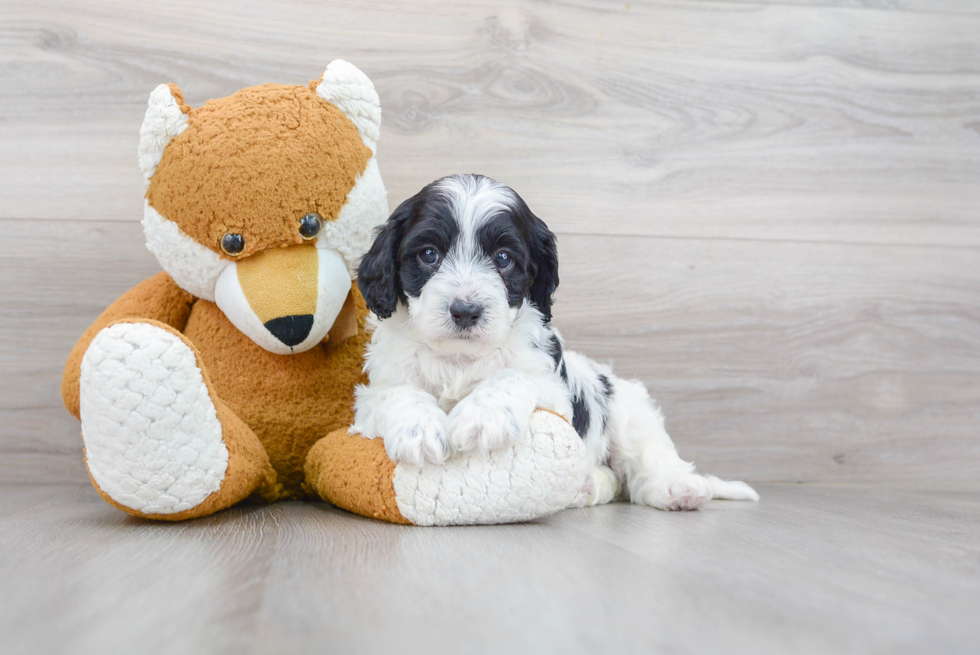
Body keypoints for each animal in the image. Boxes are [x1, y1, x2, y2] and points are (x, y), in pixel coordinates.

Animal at [350, 176, 756, 512]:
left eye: (503, 259)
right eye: (429, 254)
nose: (465, 311)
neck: (461, 357)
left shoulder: (553, 394)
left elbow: (513, 376)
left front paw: (485, 415)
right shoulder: (371, 398)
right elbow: (398, 392)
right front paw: (418, 429)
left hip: (628, 410)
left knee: (646, 464)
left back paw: (678, 488)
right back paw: (587, 486)